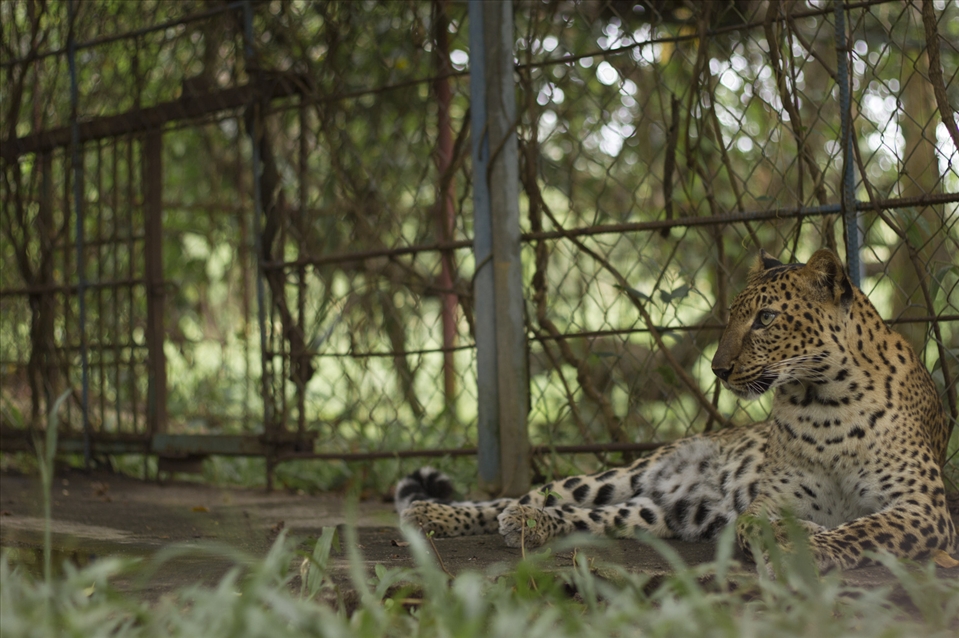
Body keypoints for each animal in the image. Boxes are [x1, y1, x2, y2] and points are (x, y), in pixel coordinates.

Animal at [395, 249, 957, 571]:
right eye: (733, 316)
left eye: (766, 319)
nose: (718, 369)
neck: (823, 403)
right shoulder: (769, 501)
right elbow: (756, 524)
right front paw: (798, 538)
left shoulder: (925, 509)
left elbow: (864, 527)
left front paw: (814, 545)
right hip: (621, 476)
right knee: (521, 496)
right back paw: (436, 514)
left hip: (653, 513)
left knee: (584, 517)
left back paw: (530, 525)